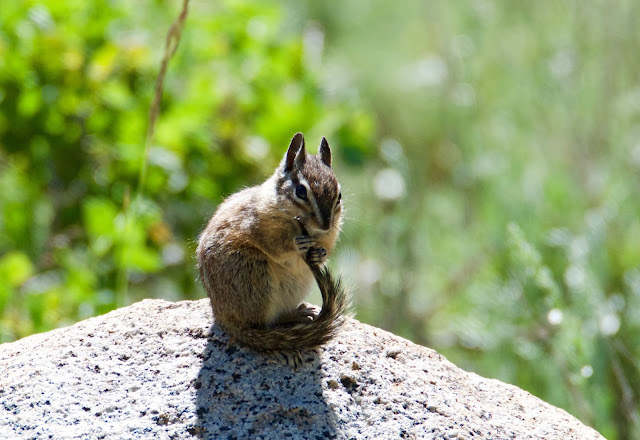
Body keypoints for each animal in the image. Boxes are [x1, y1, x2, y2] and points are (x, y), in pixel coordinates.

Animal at [196, 132, 349, 366]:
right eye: (301, 191)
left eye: (338, 196)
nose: (326, 225)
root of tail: (225, 318)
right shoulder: (259, 226)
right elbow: (276, 244)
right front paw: (296, 243)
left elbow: (324, 249)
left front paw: (319, 253)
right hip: (253, 273)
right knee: (262, 326)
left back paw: (297, 314)